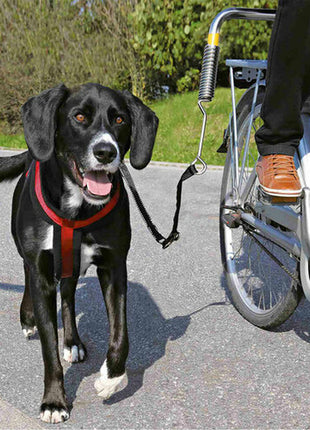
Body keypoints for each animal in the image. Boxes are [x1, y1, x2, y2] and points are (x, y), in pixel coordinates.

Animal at [0, 83, 159, 424]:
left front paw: (111, 378)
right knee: (28, 277)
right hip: (27, 253)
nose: (106, 152)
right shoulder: (42, 271)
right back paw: (28, 317)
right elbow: (49, 349)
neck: (78, 208)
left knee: (69, 297)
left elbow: (121, 333)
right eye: (80, 117)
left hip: (72, 266)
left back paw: (72, 342)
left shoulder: (114, 266)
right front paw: (54, 401)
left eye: (120, 120)